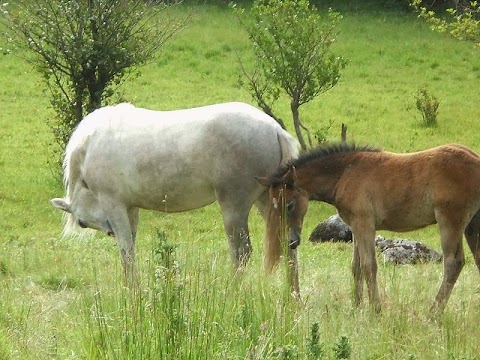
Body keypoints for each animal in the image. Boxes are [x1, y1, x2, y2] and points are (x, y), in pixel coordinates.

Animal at [48, 102, 296, 278]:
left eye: (81, 223)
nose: (109, 231)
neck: (90, 145)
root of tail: (274, 129)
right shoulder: (130, 209)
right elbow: (130, 251)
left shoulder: (114, 206)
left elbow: (127, 254)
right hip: (268, 202)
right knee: (288, 246)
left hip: (234, 208)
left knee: (241, 253)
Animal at [258, 141, 480, 312]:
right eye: (273, 205)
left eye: (289, 205)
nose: (291, 241)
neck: (345, 173)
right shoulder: (355, 226)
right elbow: (356, 267)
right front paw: (357, 308)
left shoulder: (364, 224)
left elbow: (368, 266)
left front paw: (376, 310)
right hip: (472, 225)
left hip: (450, 221)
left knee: (453, 263)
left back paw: (433, 313)